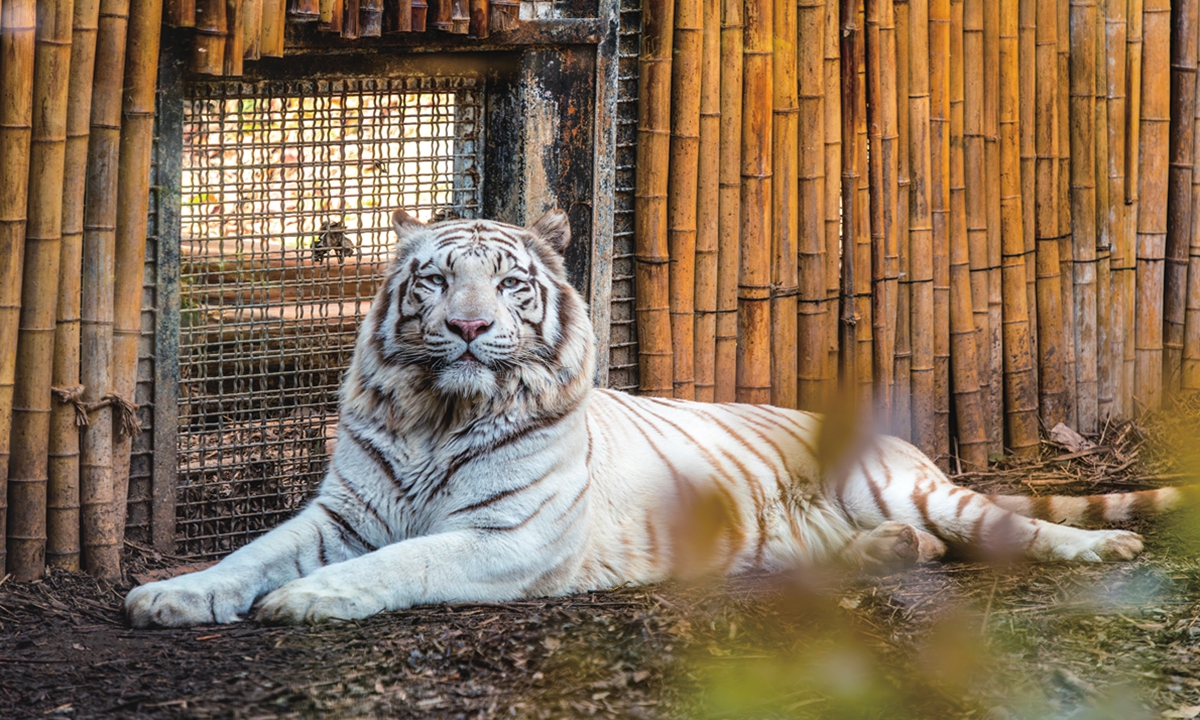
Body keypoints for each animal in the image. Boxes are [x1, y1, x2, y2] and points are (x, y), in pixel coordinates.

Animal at [126, 206, 1176, 624]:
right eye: (434, 280)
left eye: (507, 284)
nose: (467, 327)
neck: (437, 415)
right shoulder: (341, 512)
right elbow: (252, 552)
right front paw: (172, 595)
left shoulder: (511, 536)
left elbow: (403, 562)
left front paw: (306, 600)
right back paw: (884, 557)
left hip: (911, 490)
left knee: (1006, 527)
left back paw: (1103, 551)